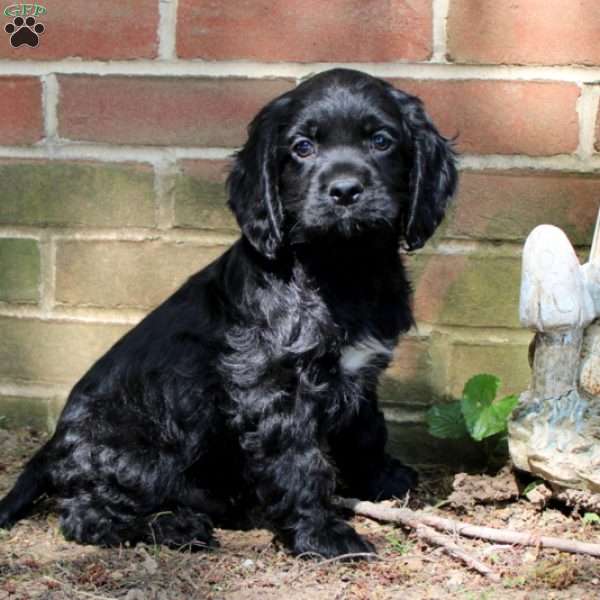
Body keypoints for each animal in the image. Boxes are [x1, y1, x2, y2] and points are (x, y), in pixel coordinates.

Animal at [0, 69, 458, 556]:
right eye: (302, 147)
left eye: (381, 141)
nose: (346, 191)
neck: (340, 267)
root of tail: (50, 449)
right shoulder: (274, 388)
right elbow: (301, 463)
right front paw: (324, 536)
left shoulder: (361, 373)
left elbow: (368, 429)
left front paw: (384, 479)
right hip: (135, 454)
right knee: (86, 515)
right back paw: (178, 527)